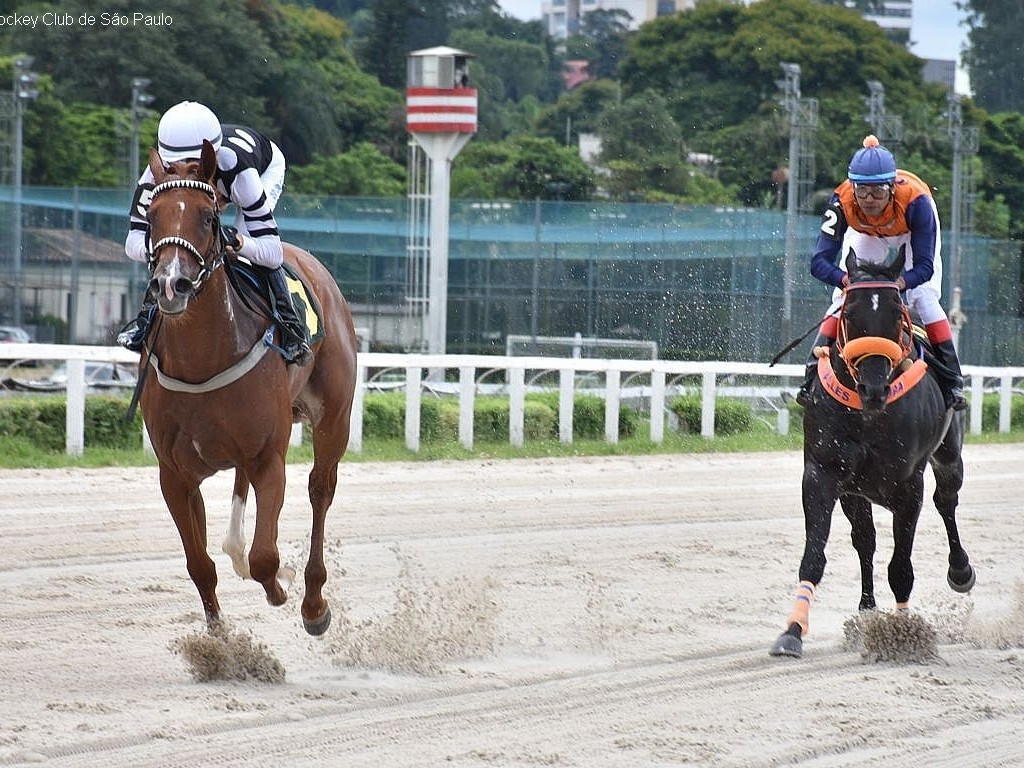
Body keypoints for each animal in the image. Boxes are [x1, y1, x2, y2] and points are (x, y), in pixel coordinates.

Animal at [140, 140, 356, 638]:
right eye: (152, 215)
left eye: (207, 217)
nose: (171, 284)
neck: (203, 359)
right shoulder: (175, 474)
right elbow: (199, 563)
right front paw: (218, 637)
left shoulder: (267, 456)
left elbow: (265, 557)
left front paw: (282, 591)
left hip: (333, 418)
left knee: (320, 489)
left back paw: (313, 600)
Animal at [770, 253, 974, 663]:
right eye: (848, 313)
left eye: (897, 313)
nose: (874, 387)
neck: (868, 415)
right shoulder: (824, 474)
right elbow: (815, 555)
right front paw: (792, 631)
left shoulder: (909, 485)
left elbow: (901, 566)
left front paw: (904, 635)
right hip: (856, 492)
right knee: (865, 539)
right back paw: (866, 611)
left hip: (949, 456)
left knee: (946, 502)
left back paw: (960, 571)